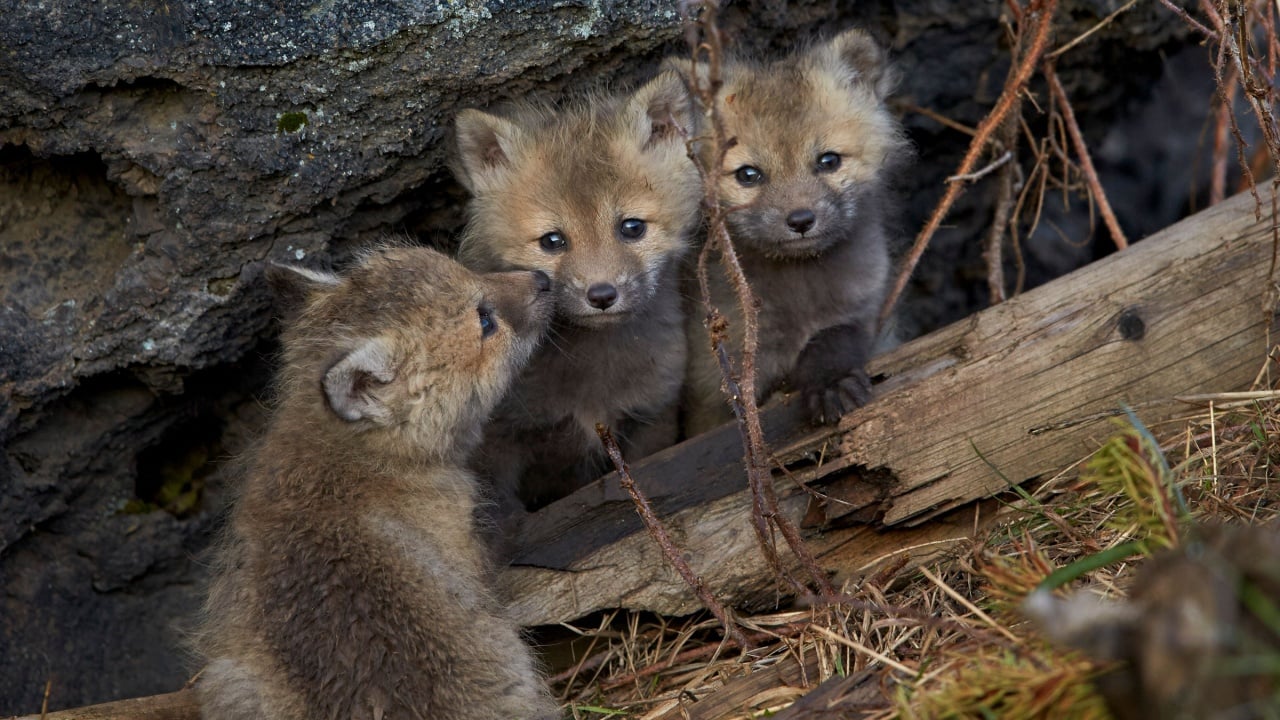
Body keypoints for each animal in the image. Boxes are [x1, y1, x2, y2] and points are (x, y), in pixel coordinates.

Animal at [452, 71, 700, 512]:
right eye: (552, 241)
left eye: (632, 227)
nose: (601, 295)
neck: (592, 375)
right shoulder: (500, 442)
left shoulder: (652, 417)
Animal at [671, 29, 909, 436]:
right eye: (748, 175)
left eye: (828, 160)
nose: (800, 220)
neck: (800, 293)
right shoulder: (716, 384)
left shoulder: (864, 313)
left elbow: (833, 338)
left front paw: (831, 383)